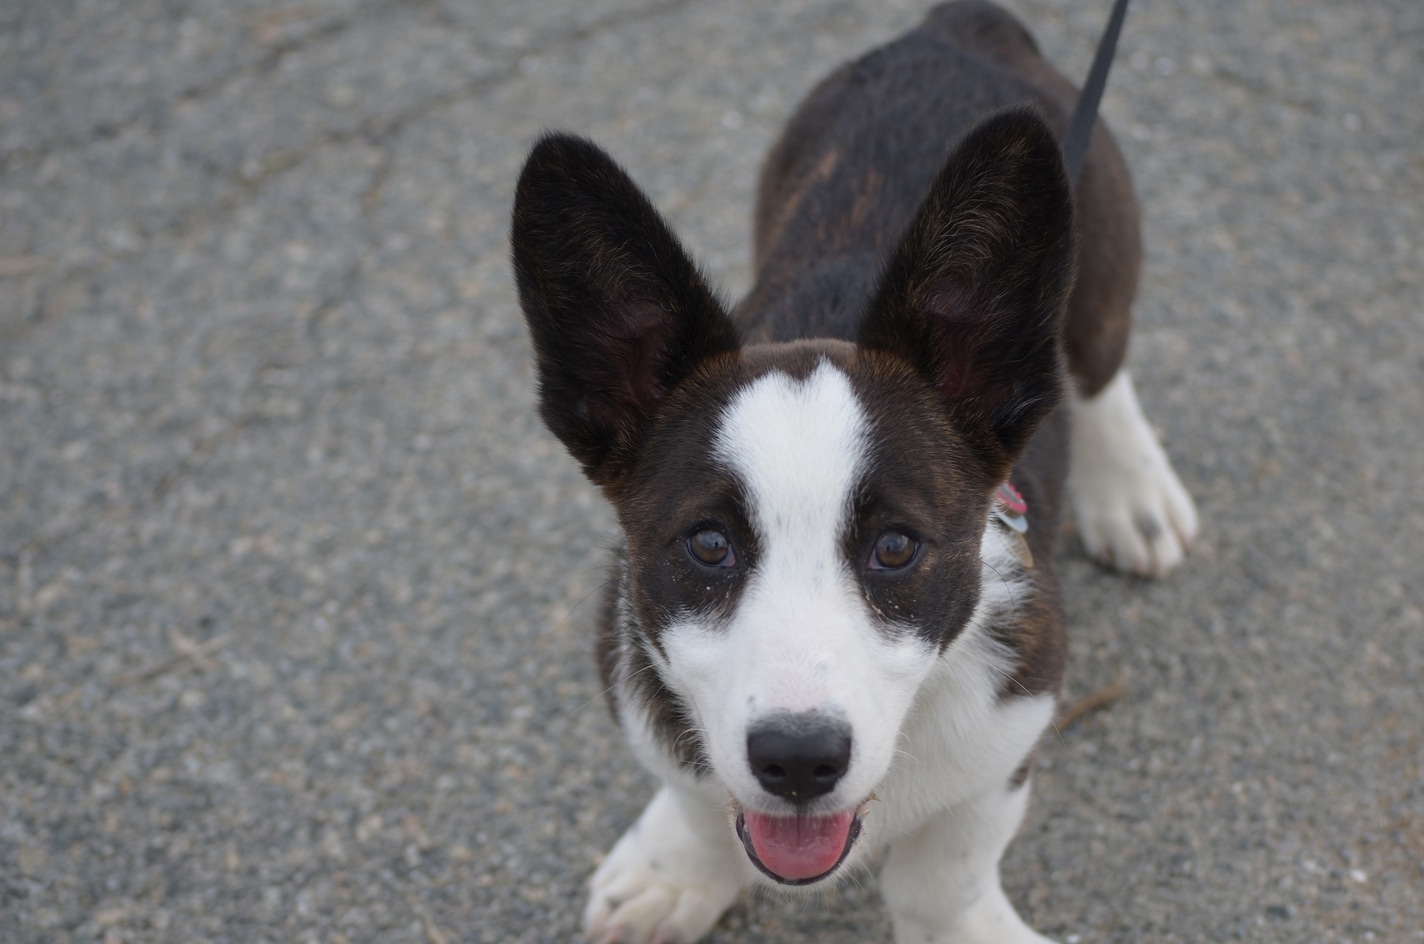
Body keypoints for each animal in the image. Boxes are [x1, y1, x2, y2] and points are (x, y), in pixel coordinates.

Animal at [506, 1, 1196, 944]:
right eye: (709, 545)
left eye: (896, 549)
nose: (799, 761)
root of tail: (956, 28)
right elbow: (694, 796)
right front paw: (675, 872)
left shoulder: (1014, 723)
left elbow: (946, 870)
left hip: (1100, 269)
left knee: (1095, 366)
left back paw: (1132, 492)